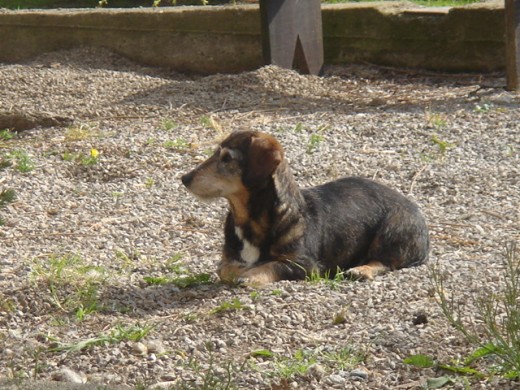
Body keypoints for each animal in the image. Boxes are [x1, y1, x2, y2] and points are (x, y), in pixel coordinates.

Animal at [181, 131, 428, 286]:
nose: (184, 178)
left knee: (385, 261)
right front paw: (241, 270)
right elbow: (224, 269)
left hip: (391, 230)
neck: (249, 219)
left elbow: (272, 265)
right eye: (217, 153)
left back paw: (361, 270)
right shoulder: (226, 261)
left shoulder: (305, 265)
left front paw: (251, 275)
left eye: (226, 158)